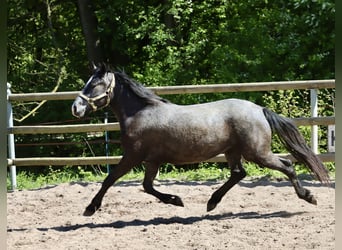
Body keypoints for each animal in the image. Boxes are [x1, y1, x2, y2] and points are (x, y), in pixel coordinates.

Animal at [71, 65, 328, 217]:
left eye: (95, 84)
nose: (76, 108)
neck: (140, 113)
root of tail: (259, 109)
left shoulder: (133, 156)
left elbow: (109, 179)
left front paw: (90, 208)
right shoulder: (152, 161)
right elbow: (147, 186)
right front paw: (176, 200)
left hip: (258, 153)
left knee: (287, 166)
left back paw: (309, 197)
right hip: (233, 151)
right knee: (239, 173)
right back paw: (211, 203)